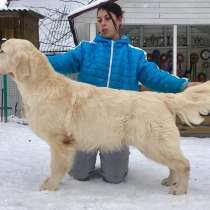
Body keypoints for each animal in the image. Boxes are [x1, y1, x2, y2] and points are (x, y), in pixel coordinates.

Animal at [0, 39, 210, 195]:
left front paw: (49, 186)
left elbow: (56, 167)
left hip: (153, 143)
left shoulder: (60, 141)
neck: (42, 85)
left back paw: (180, 190)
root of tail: (163, 97)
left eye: (2, 51)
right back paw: (170, 181)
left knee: (183, 164)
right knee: (174, 164)